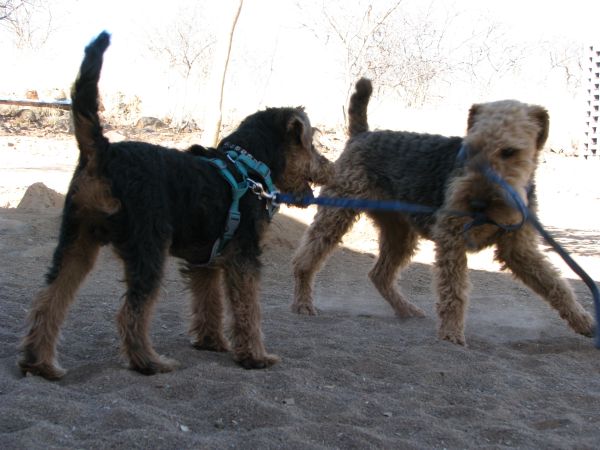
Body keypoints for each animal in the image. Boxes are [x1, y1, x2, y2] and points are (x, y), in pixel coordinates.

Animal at [18, 30, 332, 380]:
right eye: (311, 143)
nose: (329, 167)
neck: (249, 165)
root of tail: (103, 152)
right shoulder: (245, 256)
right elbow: (249, 310)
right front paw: (255, 356)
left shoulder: (207, 259)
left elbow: (209, 302)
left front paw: (212, 342)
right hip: (148, 247)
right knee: (131, 312)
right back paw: (149, 362)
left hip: (77, 241)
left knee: (49, 299)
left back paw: (40, 363)